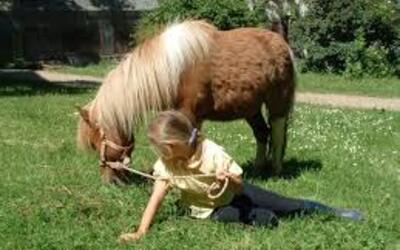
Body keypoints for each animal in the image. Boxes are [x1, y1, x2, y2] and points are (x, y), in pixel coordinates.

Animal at [76, 20, 296, 184]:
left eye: (96, 144)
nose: (109, 181)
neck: (173, 70)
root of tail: (282, 43)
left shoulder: (189, 115)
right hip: (250, 109)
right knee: (262, 133)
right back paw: (258, 168)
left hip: (277, 103)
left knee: (276, 133)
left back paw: (276, 170)